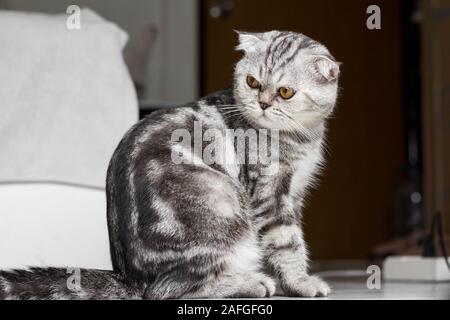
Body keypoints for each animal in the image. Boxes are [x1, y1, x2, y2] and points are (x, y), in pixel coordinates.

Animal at [0, 31, 338, 298]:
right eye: (252, 82)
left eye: (285, 91)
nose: (263, 103)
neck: (300, 137)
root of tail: (131, 277)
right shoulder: (270, 196)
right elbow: (286, 242)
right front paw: (301, 283)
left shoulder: (293, 194)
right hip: (222, 204)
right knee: (169, 290)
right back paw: (250, 282)